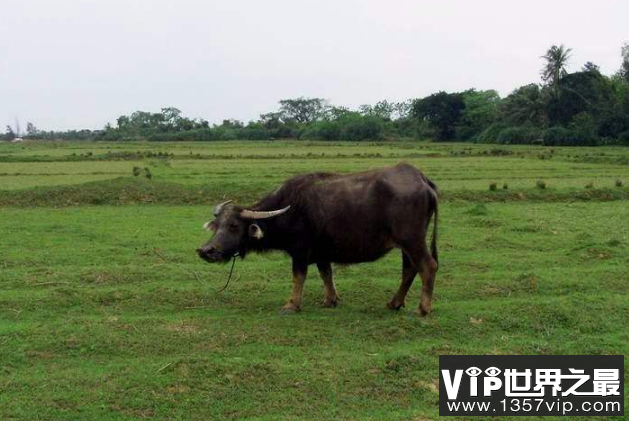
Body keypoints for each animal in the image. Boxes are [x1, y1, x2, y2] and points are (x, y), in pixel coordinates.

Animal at [196, 162, 436, 314]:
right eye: (217, 226)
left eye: (234, 225)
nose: (206, 251)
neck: (291, 209)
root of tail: (421, 180)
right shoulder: (322, 253)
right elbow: (326, 274)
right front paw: (330, 300)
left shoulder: (300, 252)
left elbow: (298, 277)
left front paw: (291, 305)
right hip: (406, 244)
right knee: (409, 269)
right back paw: (394, 303)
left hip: (412, 240)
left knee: (427, 266)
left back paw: (422, 309)